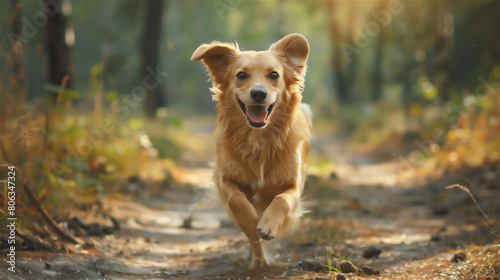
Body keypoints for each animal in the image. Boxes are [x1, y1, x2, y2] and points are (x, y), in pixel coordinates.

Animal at [190, 34, 308, 266]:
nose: (259, 93)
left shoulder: (294, 184)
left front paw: (268, 224)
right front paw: (253, 224)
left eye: (274, 75)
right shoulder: (224, 178)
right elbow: (236, 200)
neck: (258, 140)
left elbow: (282, 199)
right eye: (241, 75)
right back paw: (258, 259)